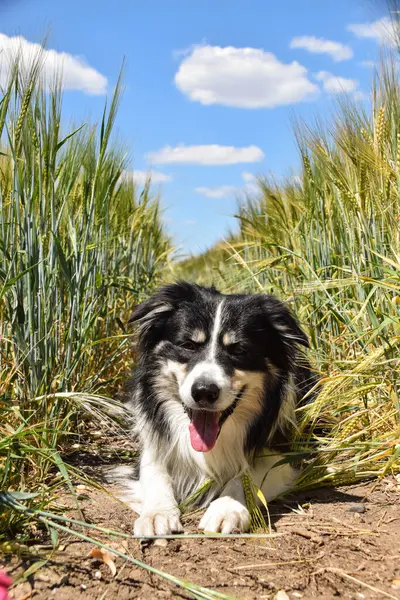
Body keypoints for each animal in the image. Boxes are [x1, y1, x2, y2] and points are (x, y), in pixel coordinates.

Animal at [115, 284, 316, 536]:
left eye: (239, 350)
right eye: (188, 345)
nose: (203, 392)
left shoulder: (285, 455)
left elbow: (246, 476)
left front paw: (227, 507)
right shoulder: (154, 444)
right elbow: (155, 472)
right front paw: (157, 513)